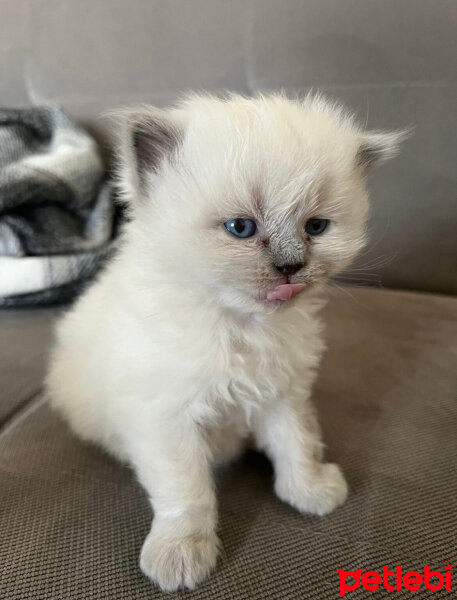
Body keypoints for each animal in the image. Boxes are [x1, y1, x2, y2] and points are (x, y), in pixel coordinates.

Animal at [46, 92, 402, 592]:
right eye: (240, 228)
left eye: (315, 227)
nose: (291, 267)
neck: (242, 326)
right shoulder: (167, 420)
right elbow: (187, 493)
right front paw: (181, 554)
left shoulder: (282, 395)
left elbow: (296, 445)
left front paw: (310, 491)